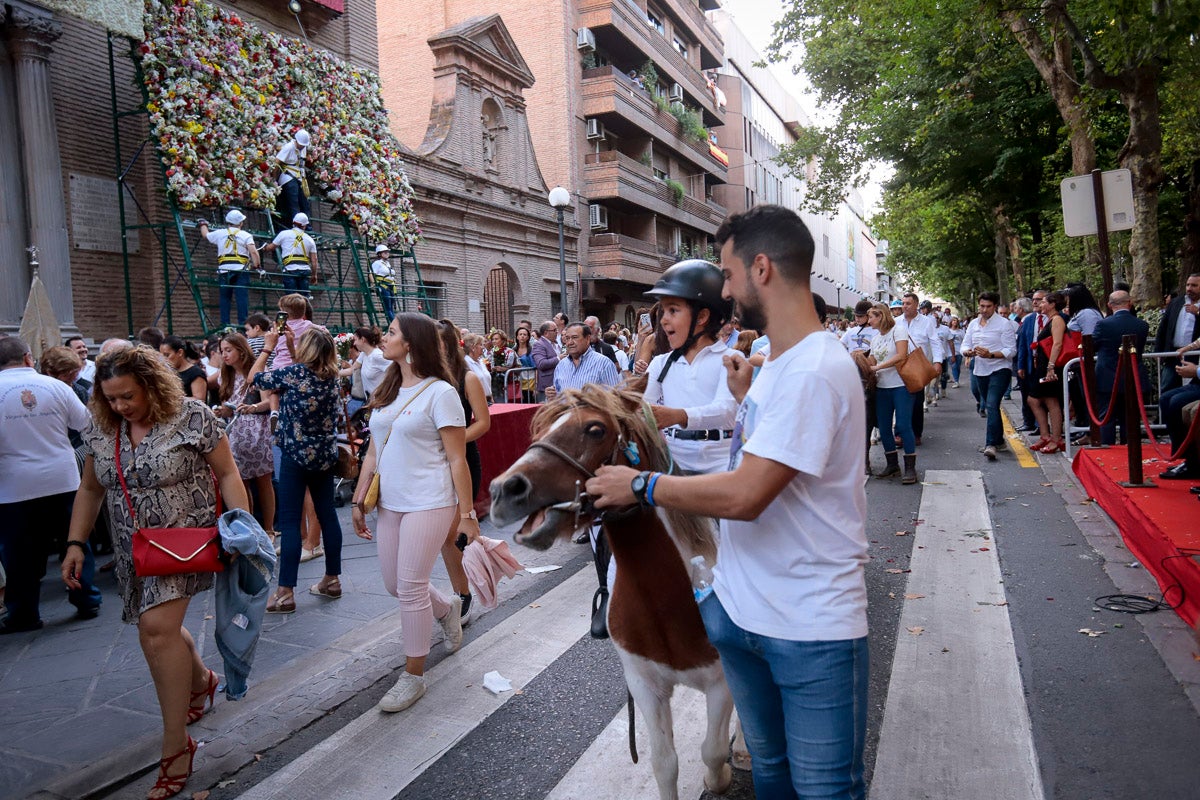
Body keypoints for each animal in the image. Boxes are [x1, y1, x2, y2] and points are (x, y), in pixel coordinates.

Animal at [484, 388, 729, 800]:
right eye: (538, 427)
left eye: (595, 429)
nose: (504, 490)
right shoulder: (644, 686)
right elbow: (665, 764)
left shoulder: (723, 682)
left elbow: (713, 749)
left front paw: (720, 776)